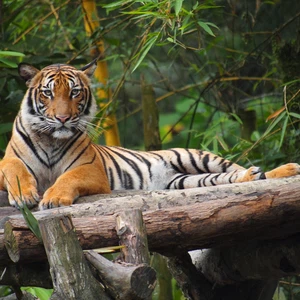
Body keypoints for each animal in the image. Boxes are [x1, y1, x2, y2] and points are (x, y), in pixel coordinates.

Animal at [0, 59, 298, 210]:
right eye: (47, 93)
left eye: (74, 92)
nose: (62, 118)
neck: (51, 139)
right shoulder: (8, 162)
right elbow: (15, 170)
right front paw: (25, 196)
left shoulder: (90, 169)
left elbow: (67, 178)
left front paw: (53, 198)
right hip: (186, 181)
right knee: (229, 178)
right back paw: (255, 174)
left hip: (198, 156)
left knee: (239, 169)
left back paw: (285, 169)